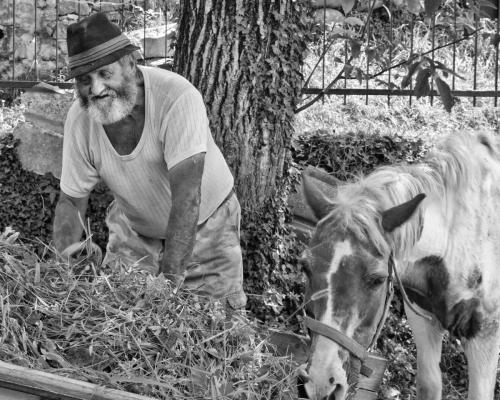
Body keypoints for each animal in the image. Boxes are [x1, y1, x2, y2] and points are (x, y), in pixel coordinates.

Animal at [296, 130, 500, 398]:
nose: (320, 384)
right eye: (306, 267)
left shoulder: (485, 336)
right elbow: (429, 385)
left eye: (377, 279)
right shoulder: (423, 320)